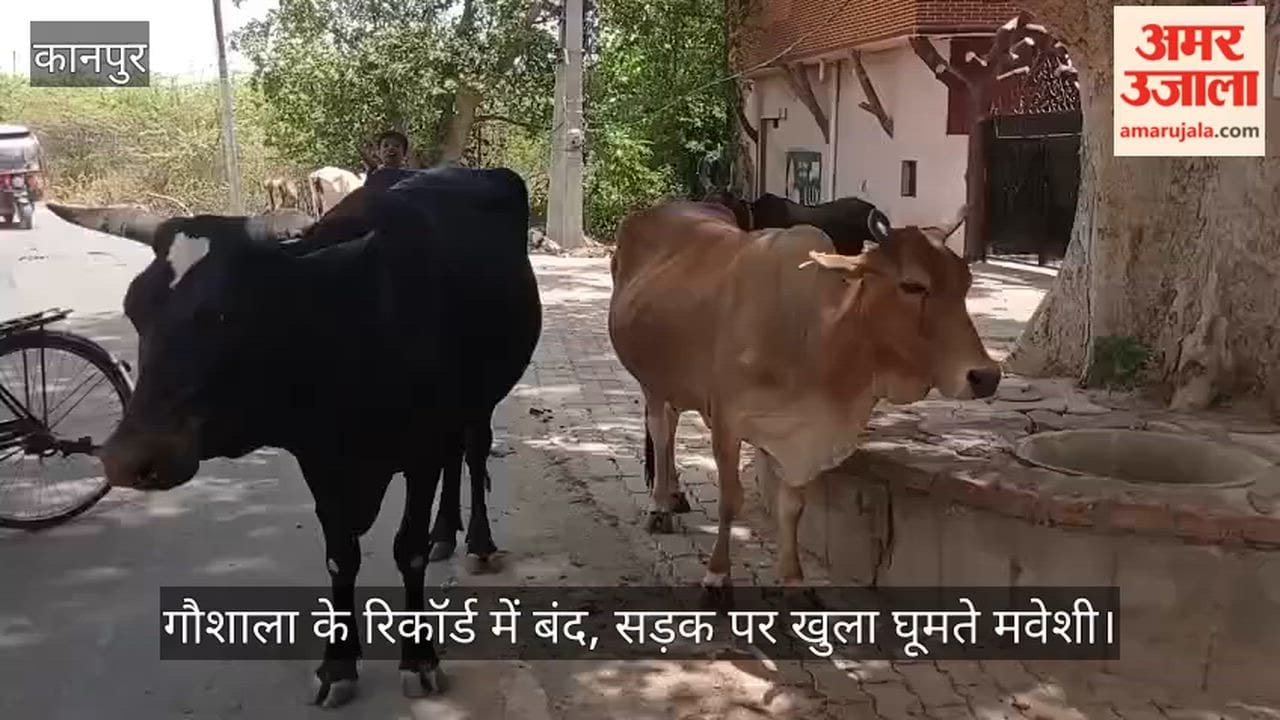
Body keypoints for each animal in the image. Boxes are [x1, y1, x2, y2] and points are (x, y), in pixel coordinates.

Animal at [45, 165, 543, 708]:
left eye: (227, 313)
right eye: (134, 309)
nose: (127, 458)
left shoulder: (419, 448)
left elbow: (406, 550)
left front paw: (419, 658)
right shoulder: (318, 457)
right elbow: (340, 558)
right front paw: (338, 665)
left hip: (481, 399)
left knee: (472, 455)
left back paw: (476, 540)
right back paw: (444, 533)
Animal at [607, 199, 1000, 608]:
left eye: (966, 283)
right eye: (912, 285)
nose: (986, 376)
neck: (815, 335)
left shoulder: (800, 434)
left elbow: (792, 509)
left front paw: (794, 582)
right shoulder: (729, 422)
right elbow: (731, 500)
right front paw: (716, 578)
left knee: (670, 423)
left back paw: (676, 494)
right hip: (651, 381)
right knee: (661, 431)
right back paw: (659, 506)